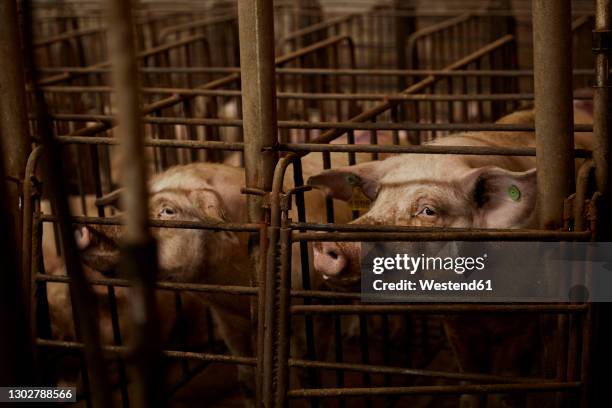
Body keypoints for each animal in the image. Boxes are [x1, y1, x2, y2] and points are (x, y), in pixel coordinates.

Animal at [308, 106, 596, 408]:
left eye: (428, 211)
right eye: (377, 200)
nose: (332, 242)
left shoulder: (527, 320)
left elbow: (508, 377)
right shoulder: (455, 321)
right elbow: (470, 375)